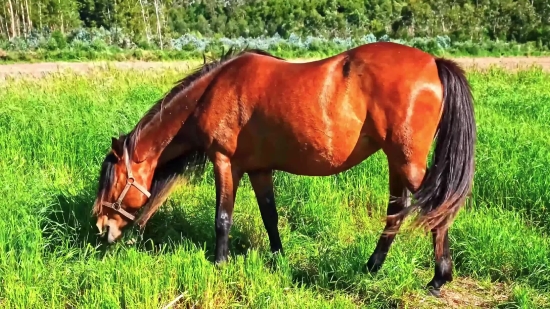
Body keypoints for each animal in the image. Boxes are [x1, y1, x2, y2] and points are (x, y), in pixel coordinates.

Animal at [92, 42, 476, 294]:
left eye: (114, 183)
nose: (100, 228)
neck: (213, 90)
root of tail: (433, 63)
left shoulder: (225, 162)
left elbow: (222, 218)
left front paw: (219, 264)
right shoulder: (259, 170)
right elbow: (270, 216)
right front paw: (278, 260)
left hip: (408, 164)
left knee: (437, 210)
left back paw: (438, 279)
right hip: (396, 162)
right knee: (396, 212)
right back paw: (372, 266)